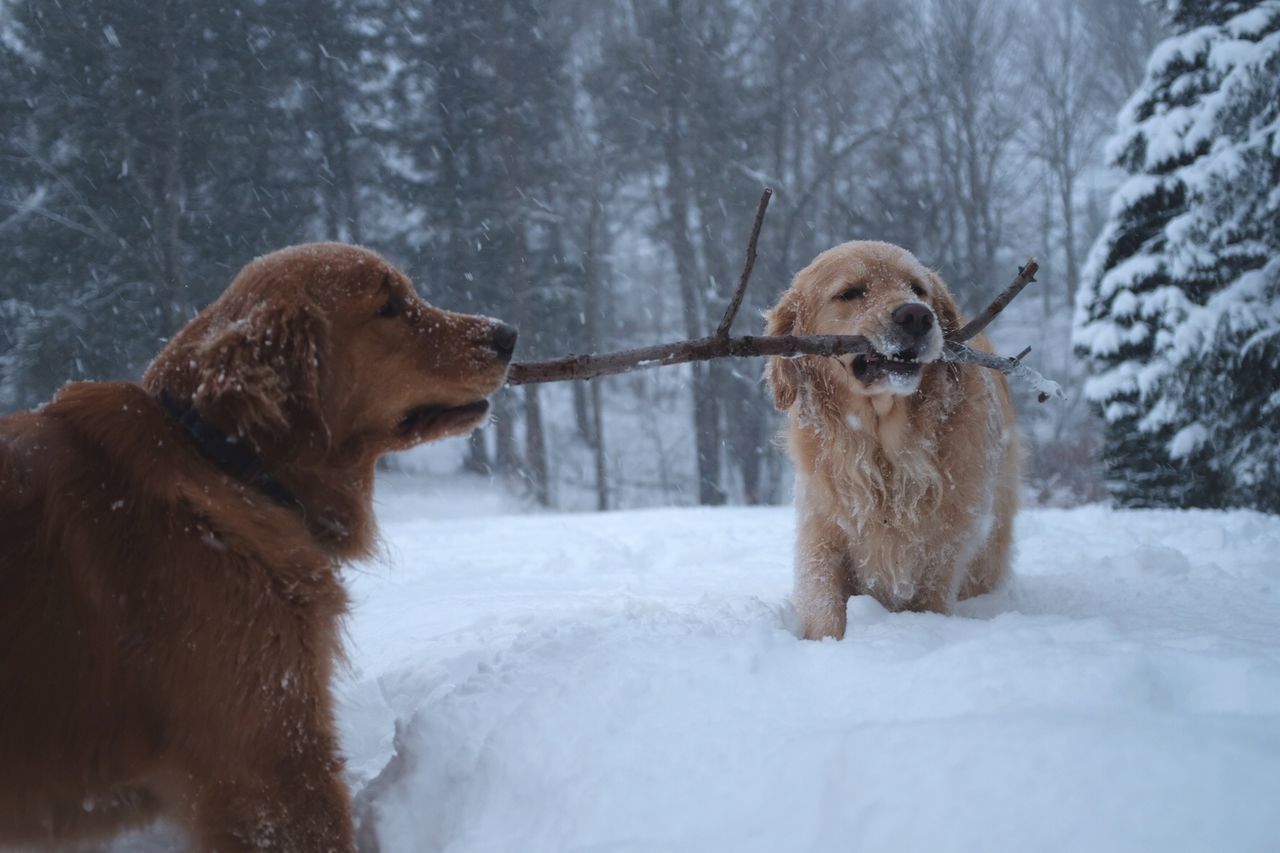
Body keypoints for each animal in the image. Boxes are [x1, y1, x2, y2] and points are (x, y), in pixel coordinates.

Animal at [757, 239, 1018, 637]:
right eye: (850, 292)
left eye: (918, 289)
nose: (917, 316)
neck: (884, 447)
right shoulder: (823, 526)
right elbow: (822, 598)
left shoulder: (945, 543)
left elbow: (932, 594)